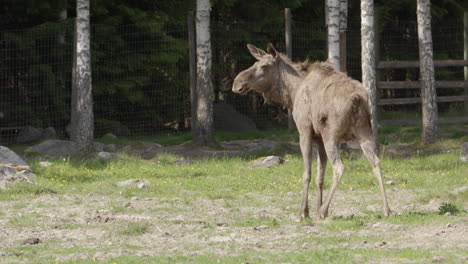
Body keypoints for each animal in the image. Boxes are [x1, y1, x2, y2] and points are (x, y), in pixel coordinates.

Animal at [231, 43, 392, 219]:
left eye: (264, 66)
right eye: (255, 63)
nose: (237, 83)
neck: (291, 93)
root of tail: (357, 99)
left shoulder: (304, 132)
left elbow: (307, 174)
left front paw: (305, 211)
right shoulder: (319, 140)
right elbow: (319, 177)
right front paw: (315, 207)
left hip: (332, 137)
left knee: (339, 167)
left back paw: (324, 210)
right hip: (365, 134)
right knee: (376, 162)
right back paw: (386, 209)